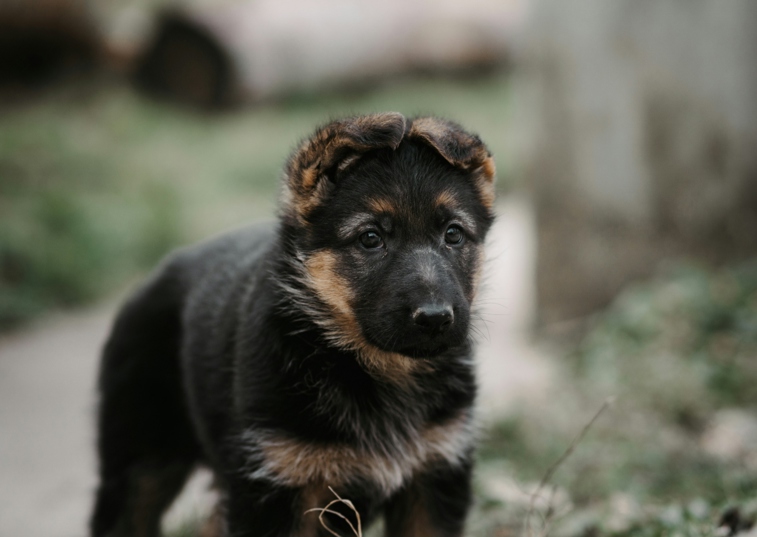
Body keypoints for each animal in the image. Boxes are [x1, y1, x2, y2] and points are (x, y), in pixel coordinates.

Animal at [90, 113, 496, 536]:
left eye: (453, 234)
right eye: (370, 238)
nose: (435, 318)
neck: (376, 368)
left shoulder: (435, 474)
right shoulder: (274, 485)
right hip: (139, 465)